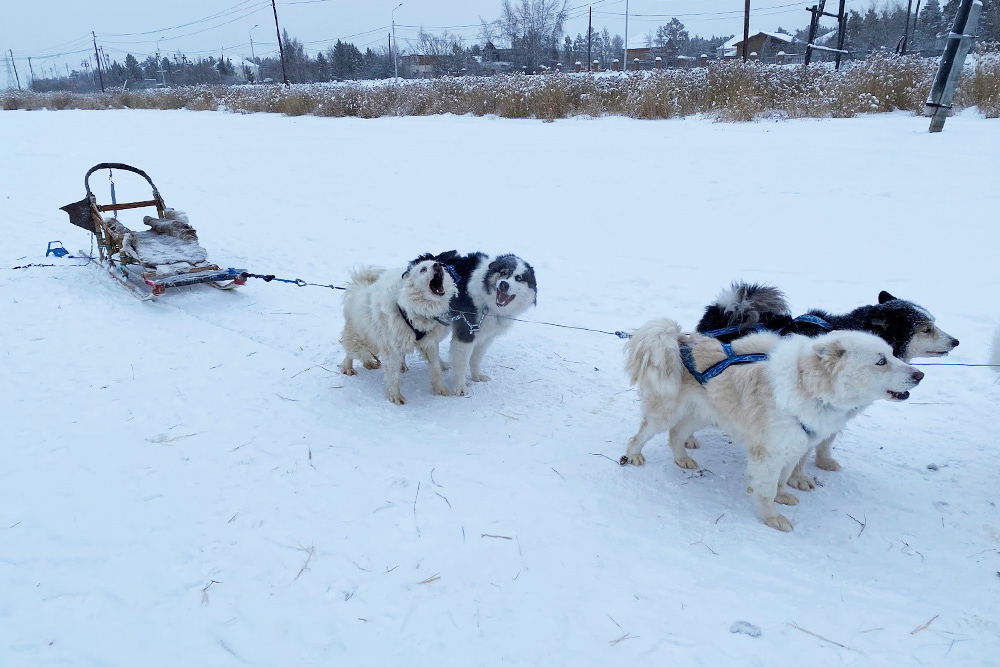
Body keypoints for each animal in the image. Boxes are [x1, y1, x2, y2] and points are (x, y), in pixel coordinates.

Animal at [340, 254, 458, 402]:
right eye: (423, 269)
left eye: (440, 264)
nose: (438, 265)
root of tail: (359, 286)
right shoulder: (391, 347)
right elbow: (393, 376)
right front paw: (395, 396)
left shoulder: (429, 343)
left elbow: (436, 367)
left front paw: (440, 389)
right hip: (364, 340)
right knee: (351, 352)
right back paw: (348, 368)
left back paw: (372, 364)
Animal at [434, 250, 536, 396]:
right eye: (503, 273)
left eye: (519, 278)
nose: (504, 284)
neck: (487, 302)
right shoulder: (466, 333)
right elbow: (461, 363)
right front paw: (459, 386)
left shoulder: (486, 337)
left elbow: (476, 358)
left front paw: (477, 375)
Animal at [624, 320, 920, 536]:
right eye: (880, 361)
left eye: (893, 354)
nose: (920, 374)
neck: (809, 390)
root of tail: (678, 340)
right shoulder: (767, 454)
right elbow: (765, 490)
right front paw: (772, 518)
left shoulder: (793, 447)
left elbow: (781, 479)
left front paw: (782, 496)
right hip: (664, 414)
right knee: (640, 434)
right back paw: (633, 455)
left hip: (703, 415)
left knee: (676, 435)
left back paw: (682, 459)